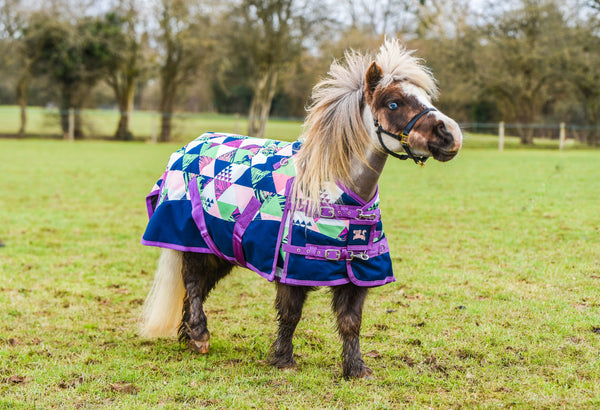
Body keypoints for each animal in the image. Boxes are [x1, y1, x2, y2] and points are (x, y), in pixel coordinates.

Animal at [138, 38, 462, 378]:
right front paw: (284, 360)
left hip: (219, 250)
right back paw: (199, 336)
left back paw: (188, 336)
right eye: (394, 104)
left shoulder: (358, 273)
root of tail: (186, 148)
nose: (451, 134)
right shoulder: (291, 269)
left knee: (198, 287)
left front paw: (355, 369)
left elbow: (351, 322)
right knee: (192, 283)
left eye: (425, 98)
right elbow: (291, 314)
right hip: (192, 241)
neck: (334, 188)